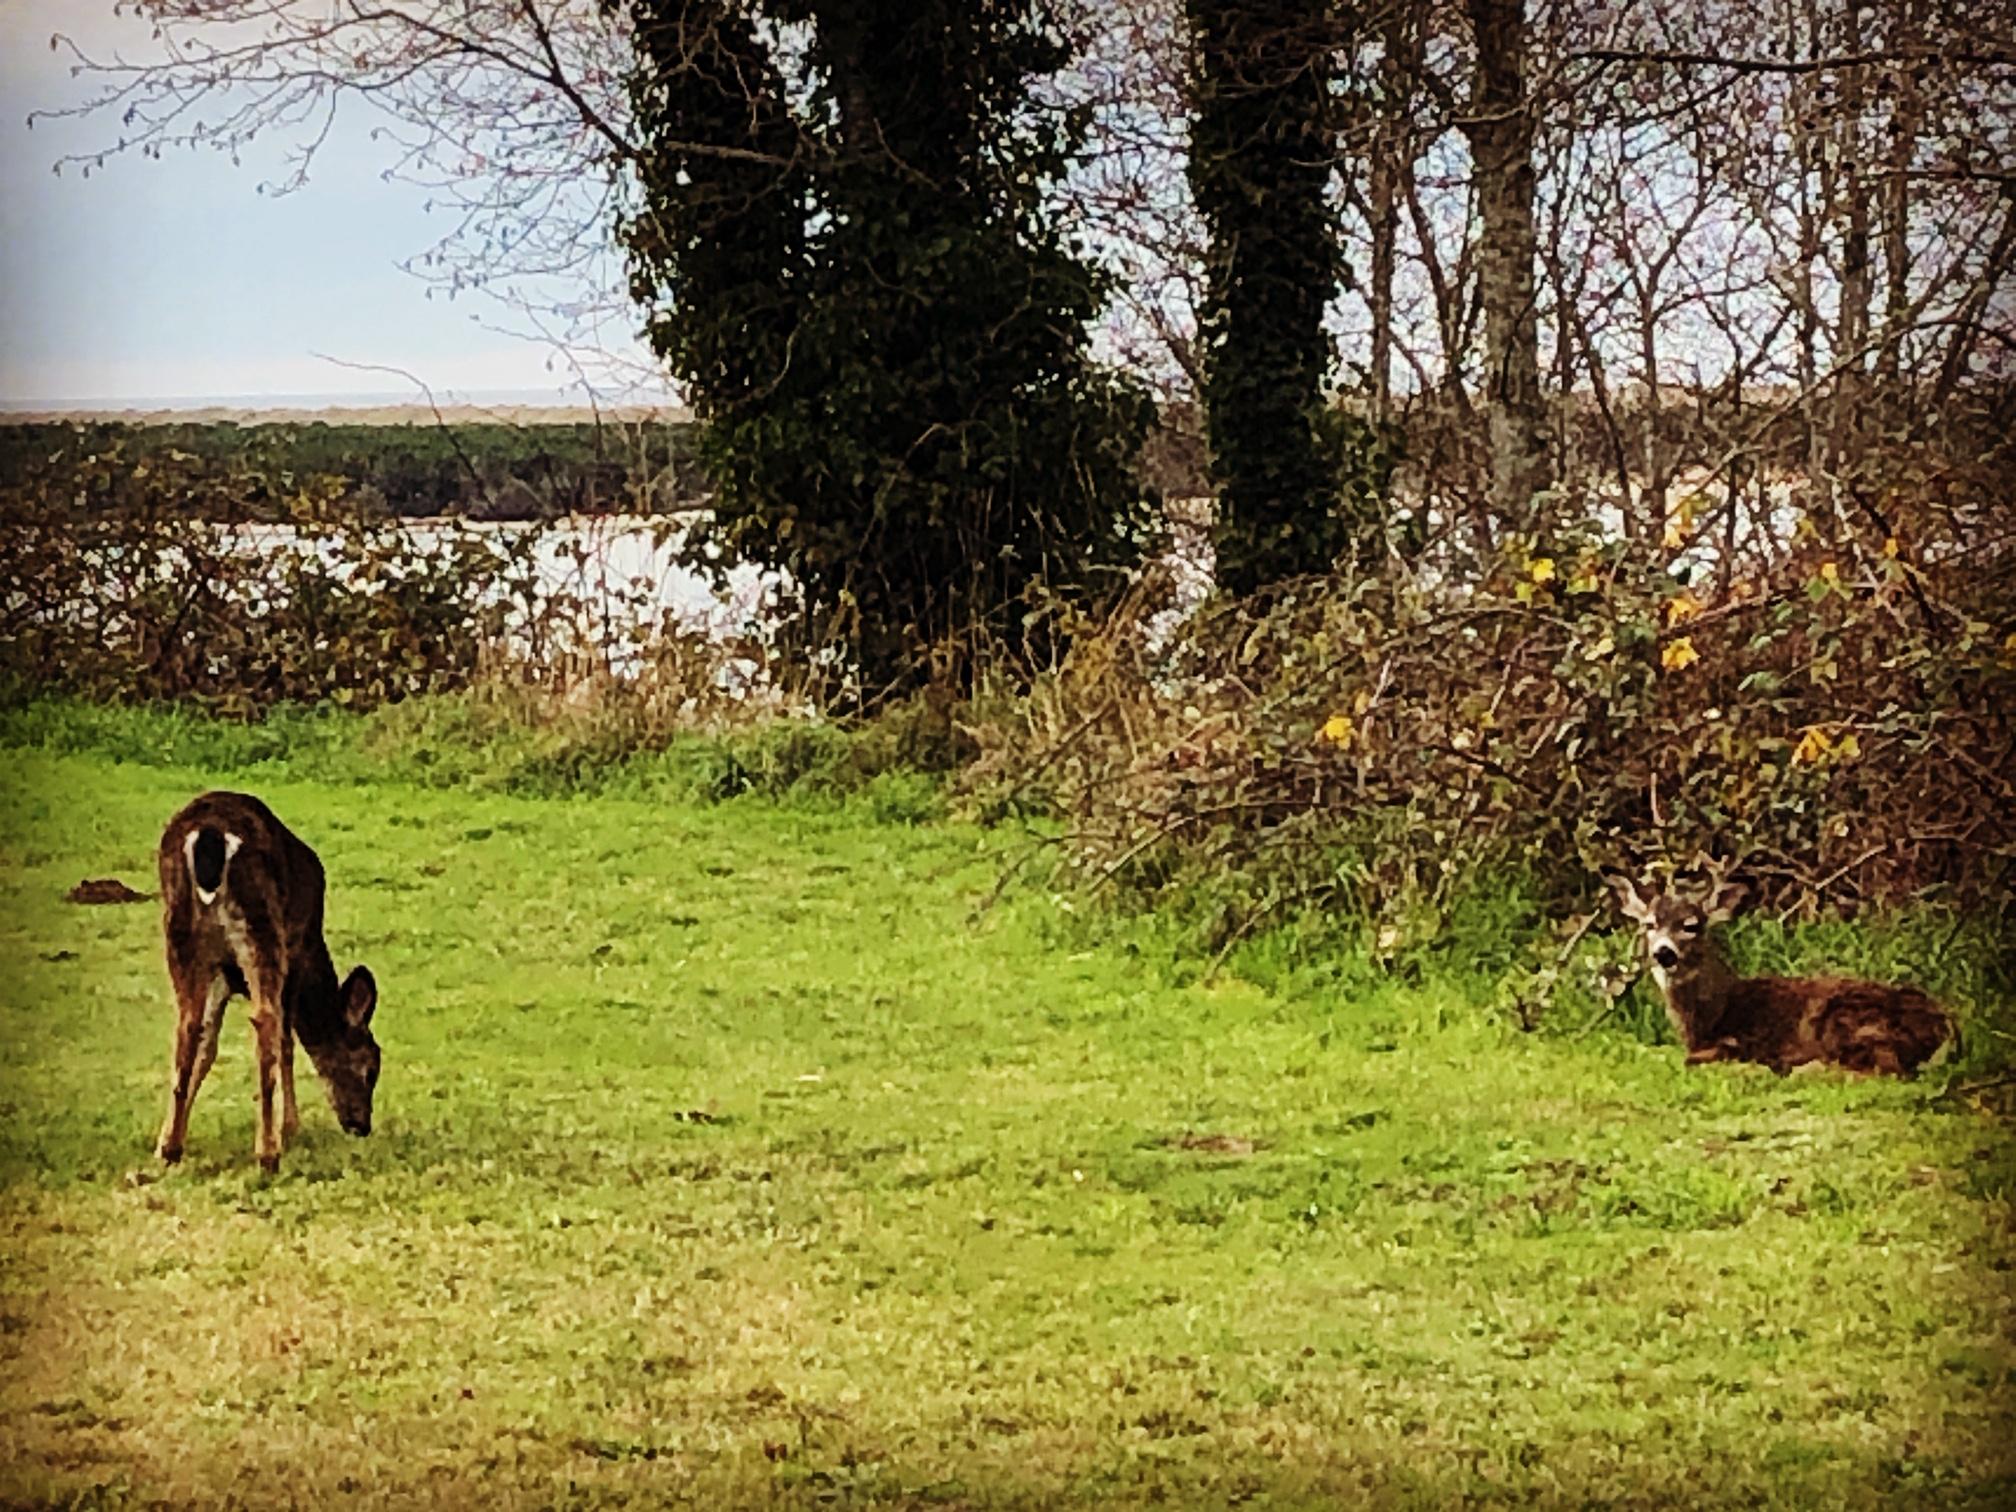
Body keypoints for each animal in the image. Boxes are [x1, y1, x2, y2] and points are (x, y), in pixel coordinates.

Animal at [156, 792, 381, 1173]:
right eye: (370, 1068)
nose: (362, 1125)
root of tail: (209, 835)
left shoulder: (222, 973)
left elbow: (206, 1045)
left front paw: (170, 1134)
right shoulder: (296, 953)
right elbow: (286, 1042)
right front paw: (290, 1127)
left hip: (181, 929)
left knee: (186, 1023)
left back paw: (171, 1148)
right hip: (262, 926)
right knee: (265, 1021)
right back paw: (268, 1151)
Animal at [1601, 865, 1951, 1077]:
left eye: (1691, 926)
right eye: (1649, 925)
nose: (1663, 953)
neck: (1711, 1017)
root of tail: (1946, 1026)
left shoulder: (1748, 1039)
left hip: (1844, 1017)